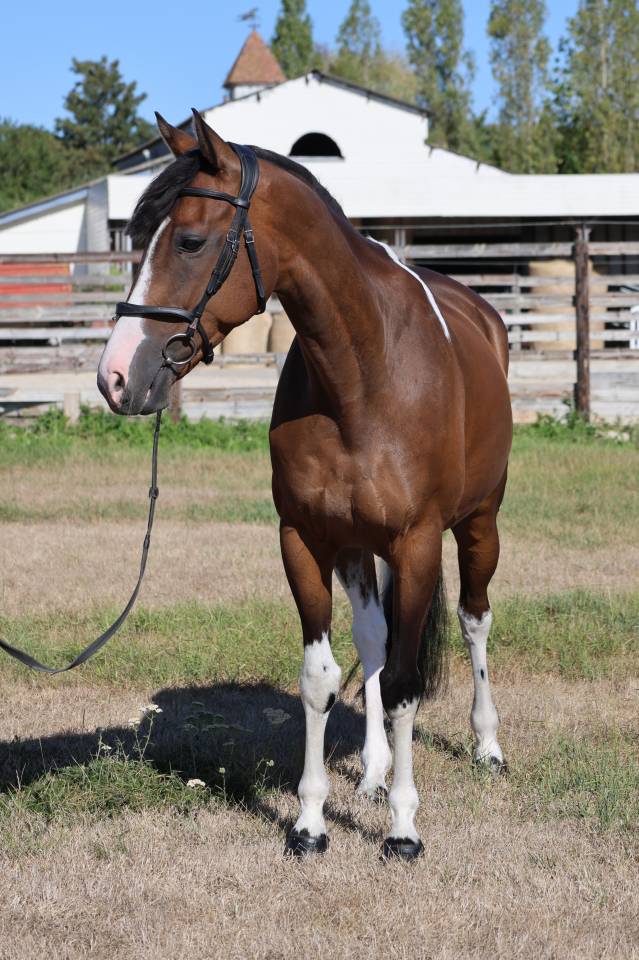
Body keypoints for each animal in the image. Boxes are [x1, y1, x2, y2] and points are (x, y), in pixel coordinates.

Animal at [98, 110, 512, 860]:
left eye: (191, 240)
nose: (115, 376)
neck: (363, 373)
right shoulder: (305, 539)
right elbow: (321, 679)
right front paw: (311, 820)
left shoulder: (415, 544)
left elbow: (405, 684)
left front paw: (403, 829)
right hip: (357, 546)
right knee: (374, 639)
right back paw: (373, 772)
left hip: (478, 524)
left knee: (473, 620)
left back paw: (486, 746)